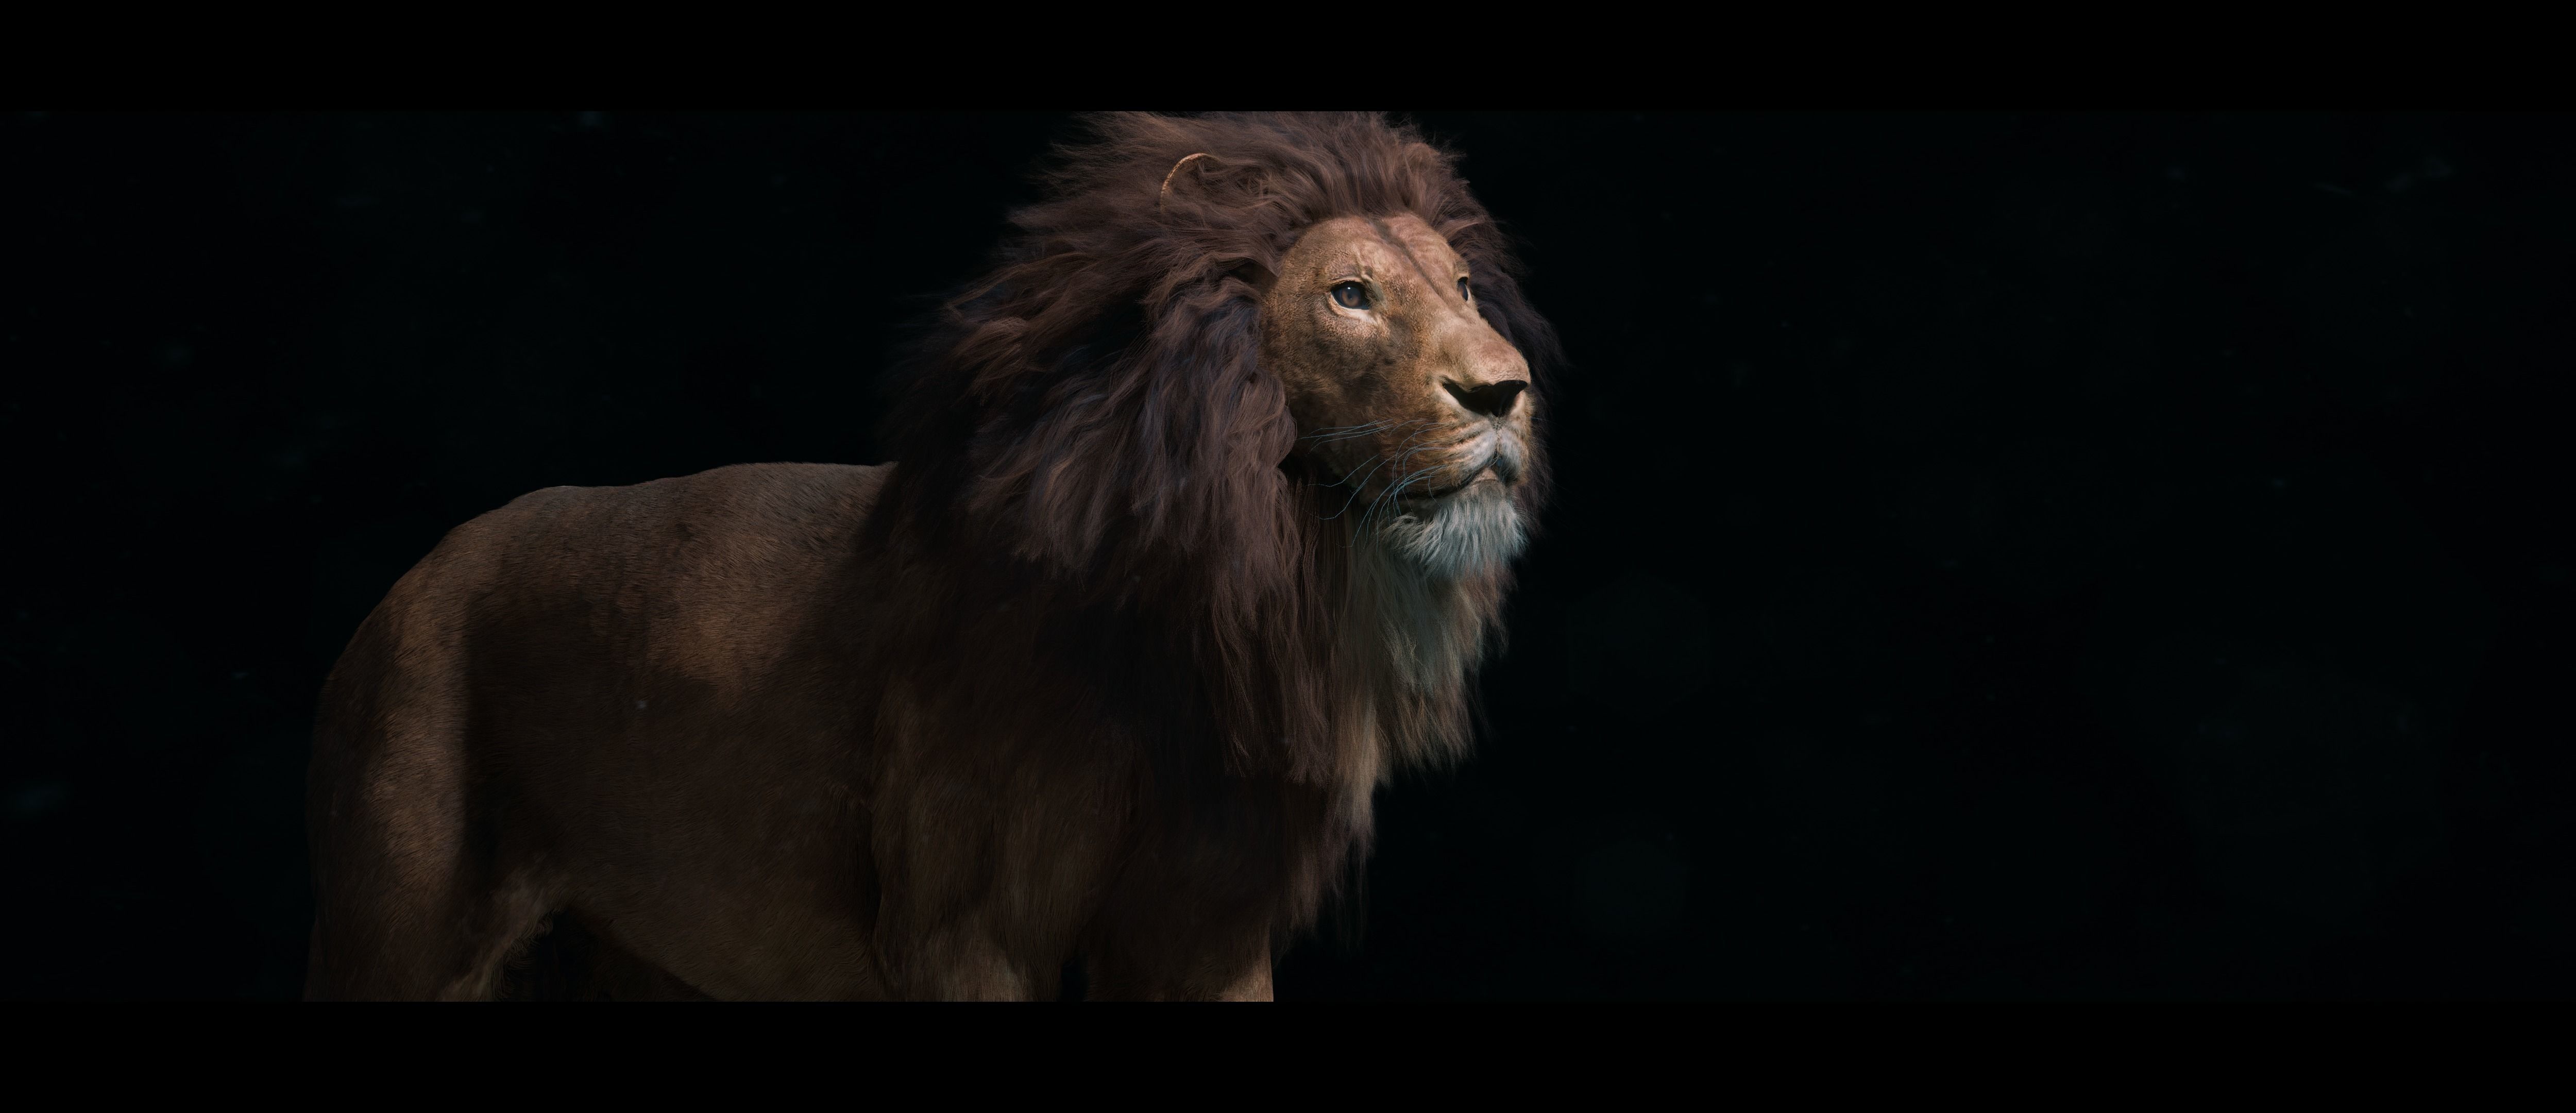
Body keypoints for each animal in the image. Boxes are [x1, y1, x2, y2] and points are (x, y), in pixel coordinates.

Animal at [304, 112, 1556, 1000]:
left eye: (1461, 288)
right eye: (1350, 295)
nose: (1506, 392)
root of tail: (408, 584)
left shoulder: (1204, 928)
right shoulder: (964, 928)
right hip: (405, 929)